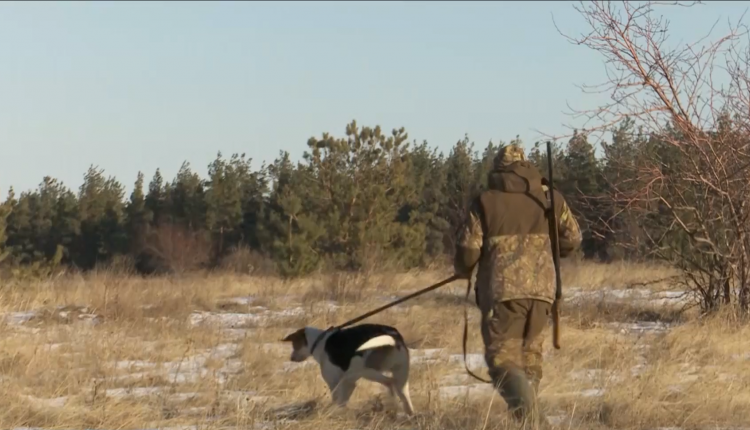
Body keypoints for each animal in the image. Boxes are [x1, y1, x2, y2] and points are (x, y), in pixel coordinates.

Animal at [282, 324, 414, 414]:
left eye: (295, 344)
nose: (291, 358)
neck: (319, 341)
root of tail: (393, 336)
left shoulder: (335, 381)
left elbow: (337, 399)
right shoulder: (350, 383)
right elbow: (343, 401)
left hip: (365, 371)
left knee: (389, 382)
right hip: (401, 373)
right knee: (402, 394)